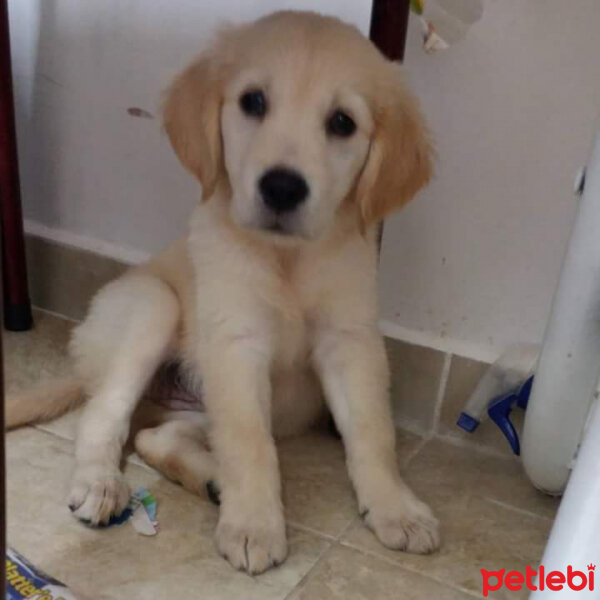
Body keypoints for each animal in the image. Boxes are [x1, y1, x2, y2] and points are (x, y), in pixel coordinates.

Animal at [7, 9, 438, 572]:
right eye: (253, 102)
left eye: (343, 122)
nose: (282, 187)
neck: (286, 258)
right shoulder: (236, 343)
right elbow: (249, 441)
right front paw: (253, 524)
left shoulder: (351, 340)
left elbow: (372, 432)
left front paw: (395, 508)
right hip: (151, 306)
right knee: (102, 416)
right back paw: (102, 484)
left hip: (194, 403)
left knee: (153, 435)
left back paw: (211, 480)